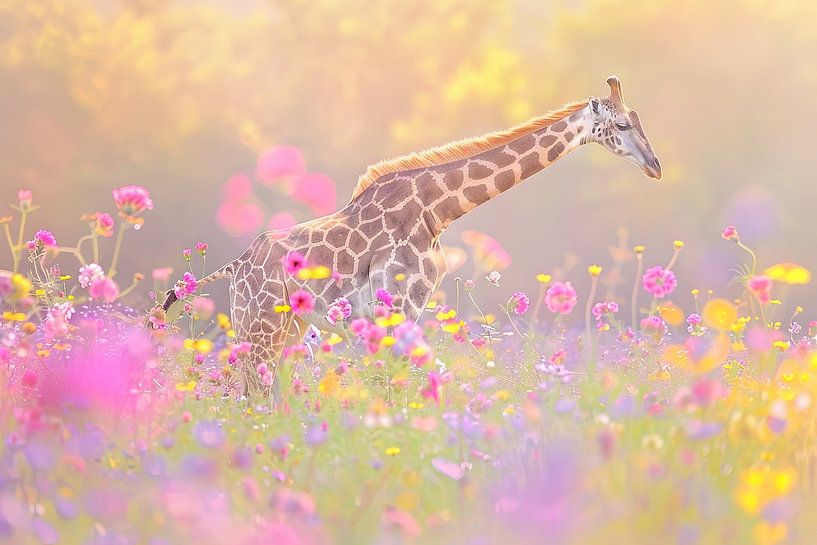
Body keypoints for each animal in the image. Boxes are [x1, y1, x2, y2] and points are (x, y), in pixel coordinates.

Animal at [160, 76, 661, 391]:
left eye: (639, 121)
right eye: (620, 125)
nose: (655, 167)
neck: (438, 210)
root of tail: (234, 267)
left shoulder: (404, 313)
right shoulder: (398, 307)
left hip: (287, 327)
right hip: (258, 326)